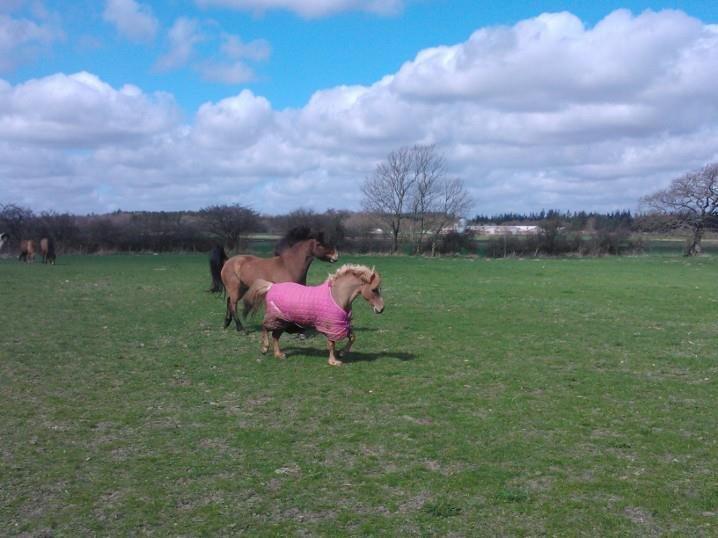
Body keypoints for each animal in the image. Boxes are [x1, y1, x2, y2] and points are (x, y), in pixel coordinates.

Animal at [245, 264, 384, 366]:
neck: (337, 296)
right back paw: (264, 348)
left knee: (275, 335)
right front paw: (333, 361)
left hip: (283, 321)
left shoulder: (342, 324)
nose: (381, 309)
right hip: (275, 317)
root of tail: (271, 286)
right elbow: (331, 344)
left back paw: (278, 355)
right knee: (265, 327)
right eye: (374, 289)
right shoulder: (330, 325)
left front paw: (342, 353)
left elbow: (353, 337)